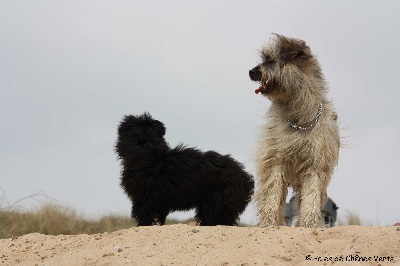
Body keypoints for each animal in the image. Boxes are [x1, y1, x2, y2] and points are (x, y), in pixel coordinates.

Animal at [115, 112, 253, 227]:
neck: (146, 148)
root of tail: (245, 177)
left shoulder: (144, 199)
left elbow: (144, 217)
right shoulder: (159, 203)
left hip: (216, 204)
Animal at [250, 34, 340, 228]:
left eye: (269, 59)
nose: (250, 72)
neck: (299, 120)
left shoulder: (315, 164)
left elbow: (311, 195)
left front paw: (309, 224)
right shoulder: (276, 159)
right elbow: (273, 193)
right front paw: (269, 222)